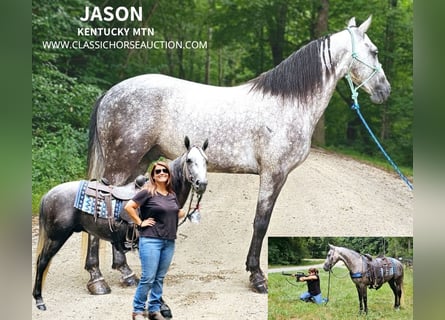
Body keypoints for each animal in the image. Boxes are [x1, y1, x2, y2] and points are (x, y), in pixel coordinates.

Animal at [86, 16, 388, 292]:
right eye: (374, 51)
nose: (385, 91)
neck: (289, 104)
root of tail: (109, 94)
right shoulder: (273, 174)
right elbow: (261, 223)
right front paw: (257, 276)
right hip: (121, 163)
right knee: (101, 202)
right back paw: (98, 278)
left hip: (139, 162)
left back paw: (124, 271)